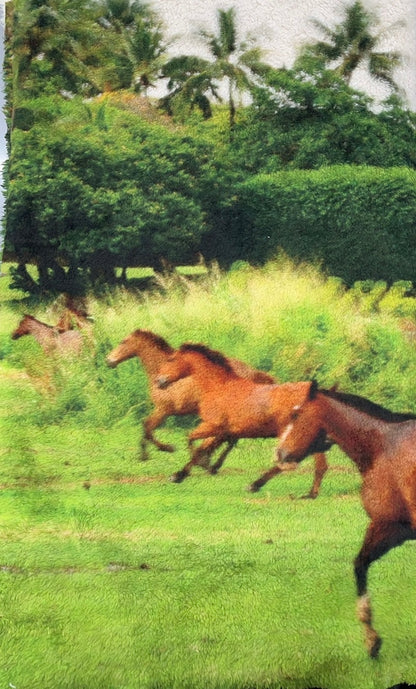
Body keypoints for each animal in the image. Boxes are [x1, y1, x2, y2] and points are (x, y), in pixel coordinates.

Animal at [106, 329, 276, 466]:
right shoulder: (163, 410)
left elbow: (147, 427)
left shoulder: (164, 409)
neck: (160, 371)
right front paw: (145, 454)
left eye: (123, 341)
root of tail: (254, 373)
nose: (108, 361)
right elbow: (146, 426)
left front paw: (164, 449)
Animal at [156, 343, 329, 494]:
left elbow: (191, 441)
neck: (218, 387)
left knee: (315, 465)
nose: (159, 381)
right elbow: (203, 445)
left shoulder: (213, 426)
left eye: (171, 359)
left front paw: (198, 466)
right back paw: (257, 485)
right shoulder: (222, 431)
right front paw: (183, 473)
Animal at [275, 380, 416, 658]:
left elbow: (359, 566)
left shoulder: (385, 525)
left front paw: (371, 639)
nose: (280, 453)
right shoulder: (397, 531)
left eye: (296, 415)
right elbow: (360, 564)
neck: (384, 446)